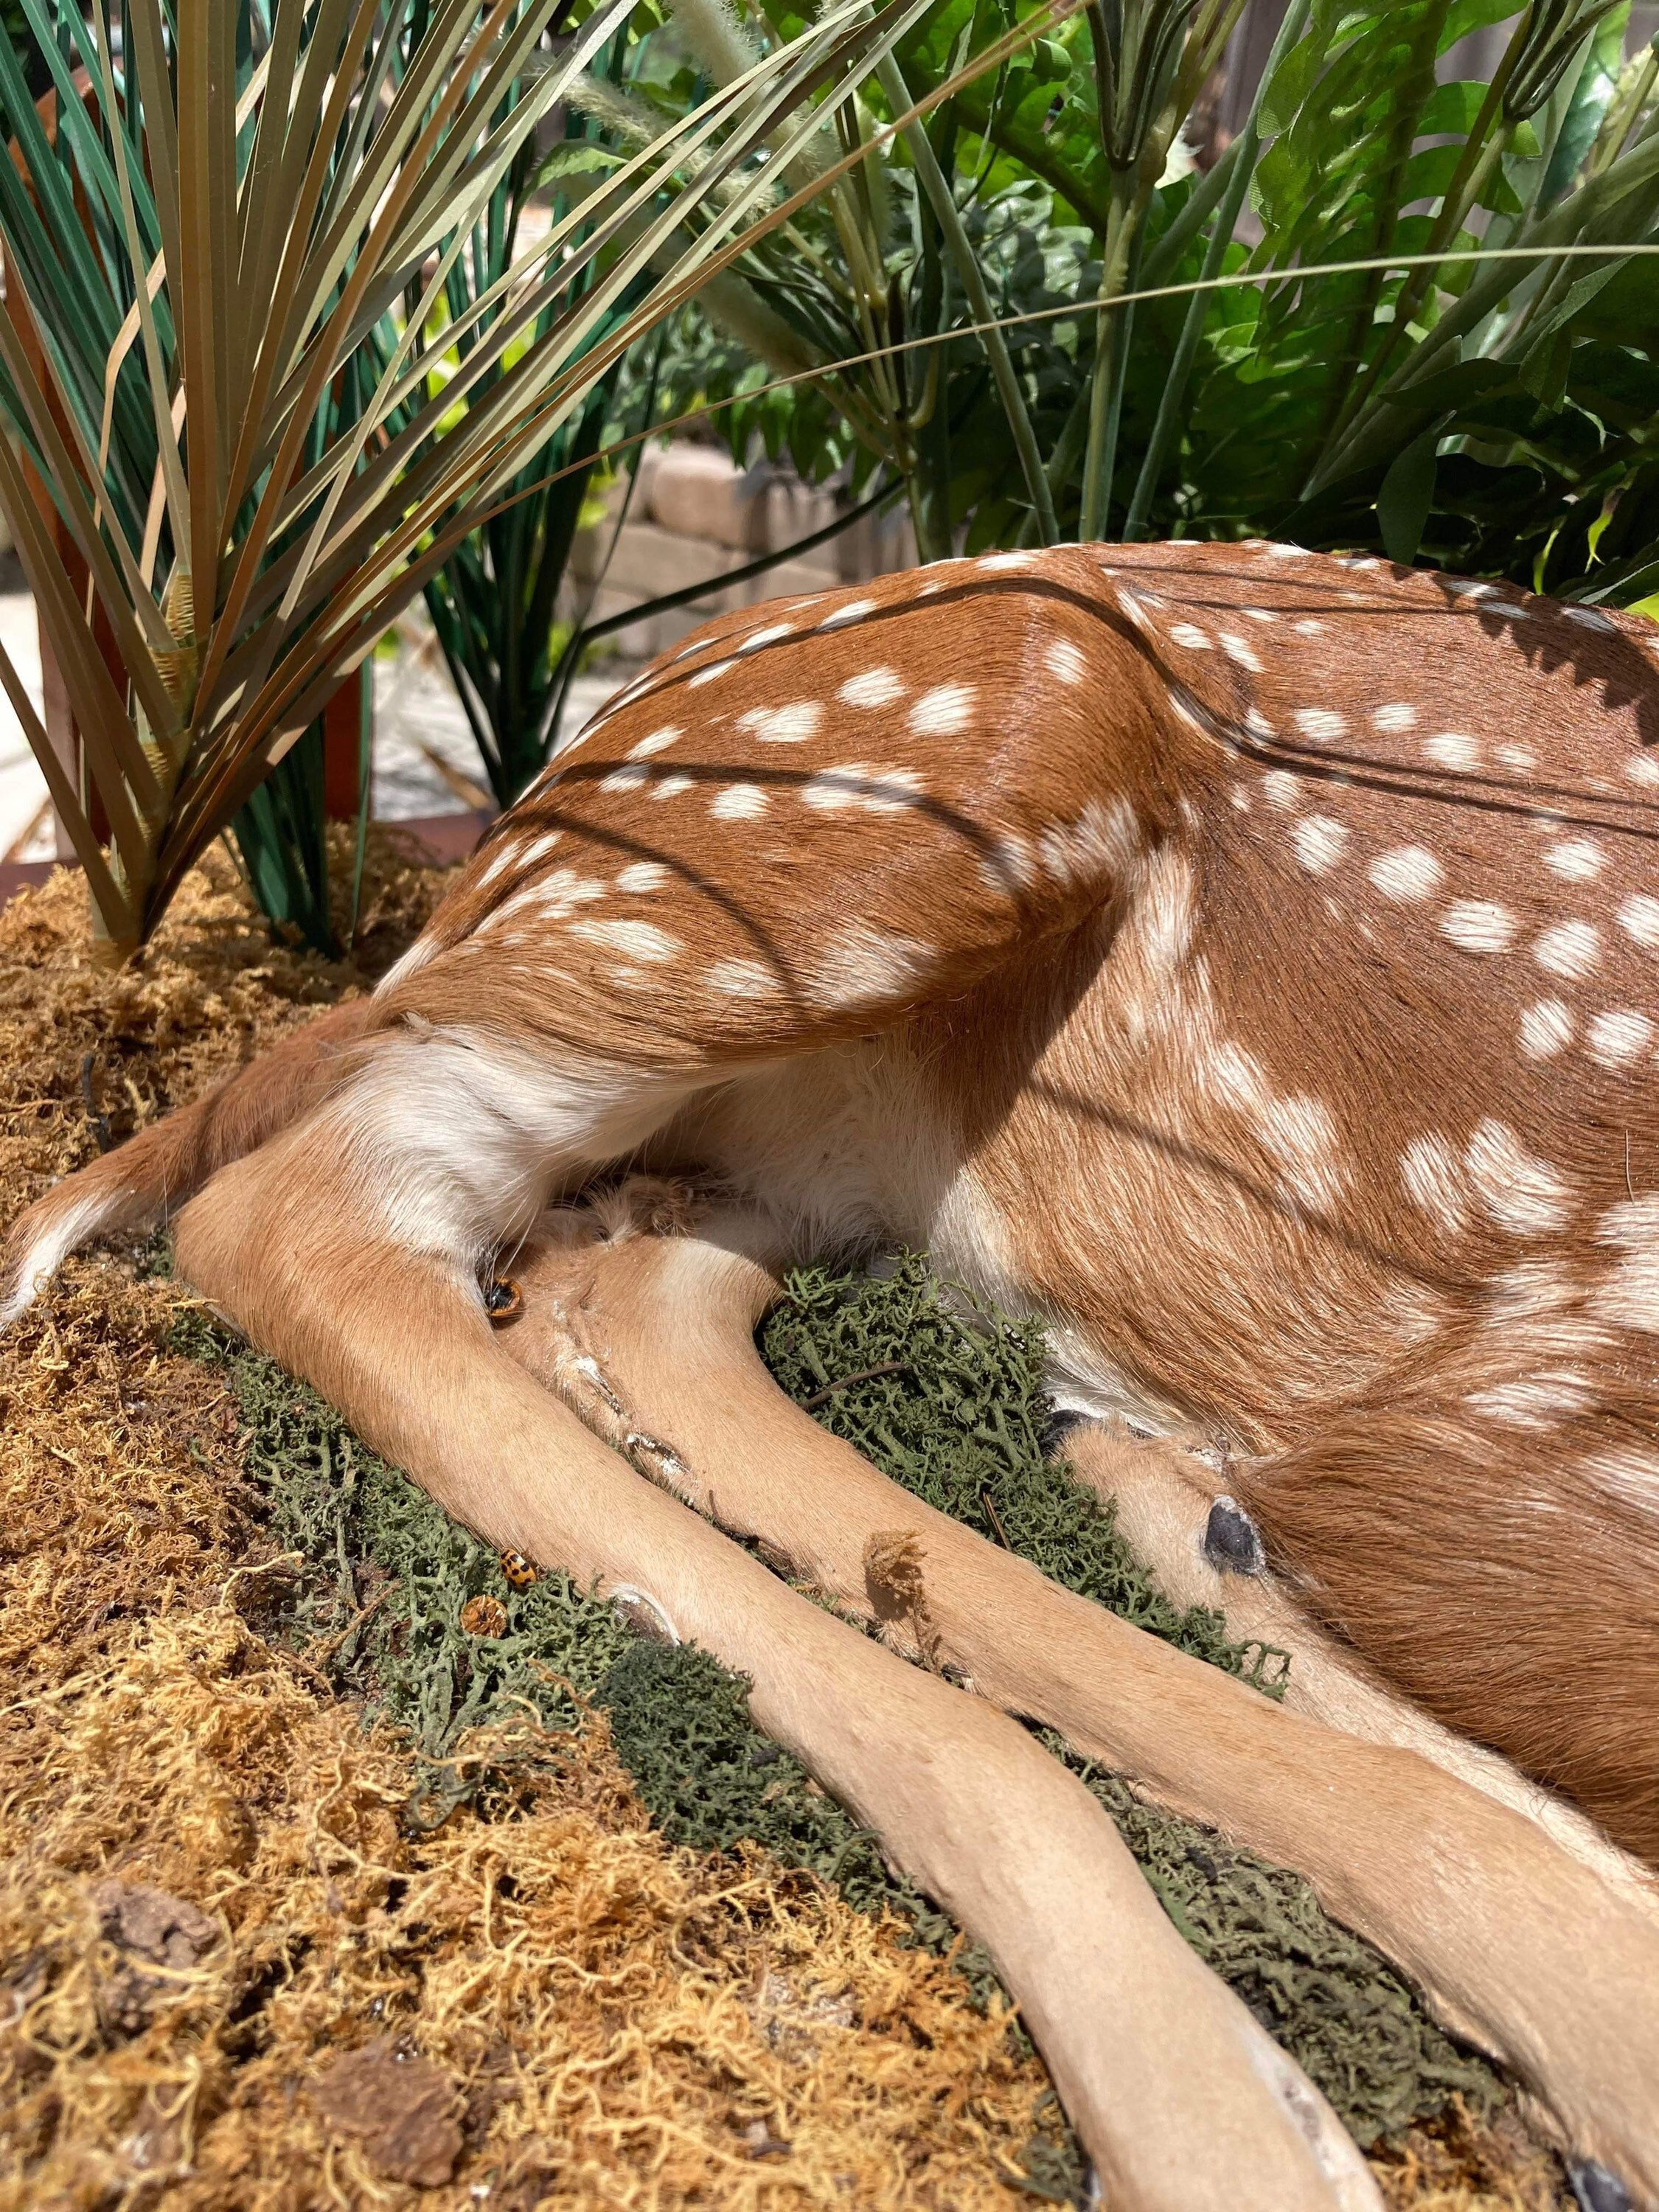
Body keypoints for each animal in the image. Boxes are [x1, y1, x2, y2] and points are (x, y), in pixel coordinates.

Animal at [6, 539, 1659, 2212]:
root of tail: (512, 829)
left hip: (822, 1111)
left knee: (632, 1282)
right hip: (882, 804)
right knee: (291, 1210)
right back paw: (1246, 2114)